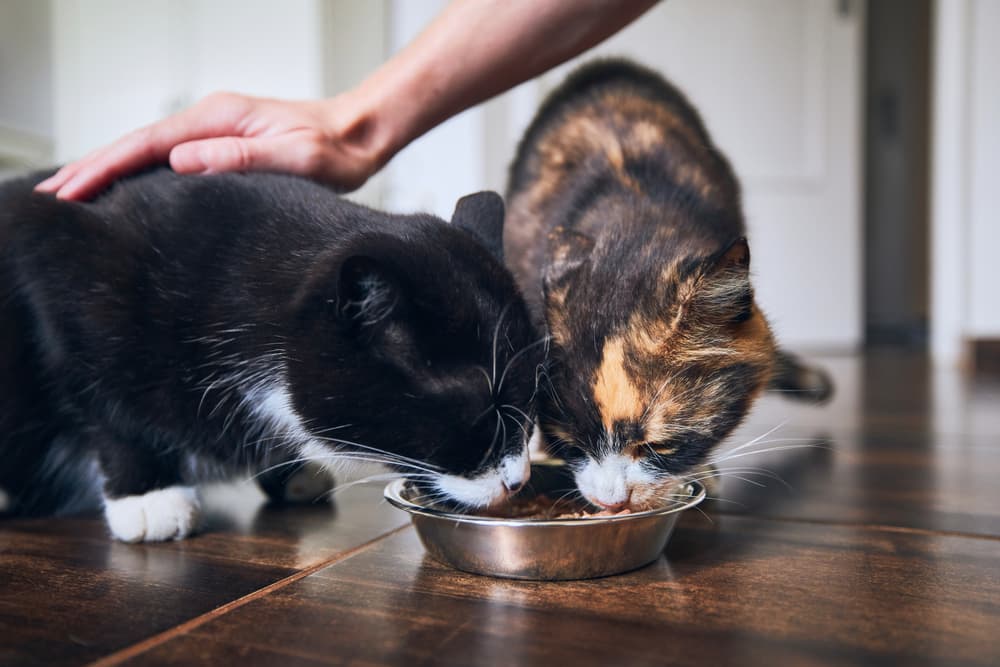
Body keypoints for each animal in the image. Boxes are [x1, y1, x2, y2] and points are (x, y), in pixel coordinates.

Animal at [0, 168, 544, 544]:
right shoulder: (63, 269)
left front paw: (289, 471)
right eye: (479, 410)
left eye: (530, 401)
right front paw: (147, 496)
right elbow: (104, 402)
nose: (518, 480)